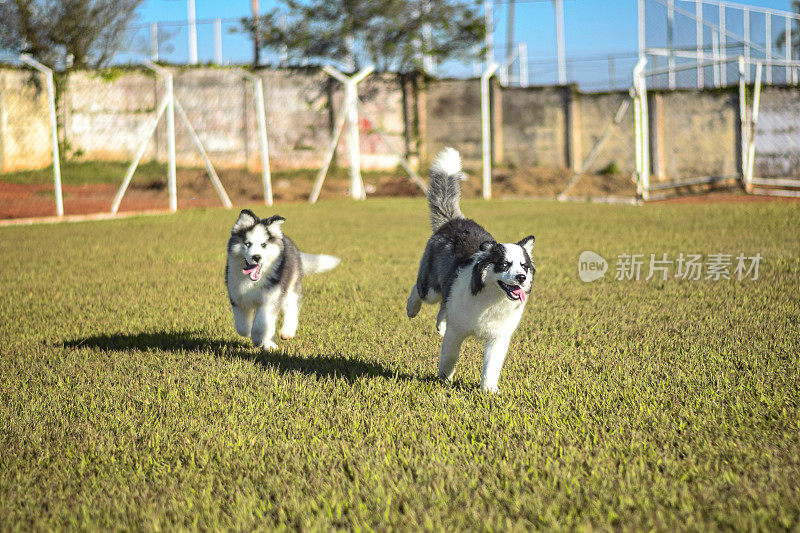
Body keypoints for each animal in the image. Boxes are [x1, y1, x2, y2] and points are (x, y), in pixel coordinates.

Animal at [225, 210, 340, 352]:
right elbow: (242, 327)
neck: (253, 282)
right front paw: (249, 332)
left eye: (264, 244)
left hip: (291, 286)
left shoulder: (271, 299)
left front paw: (258, 339)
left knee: (291, 308)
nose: (256, 257)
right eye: (247, 244)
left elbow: (260, 325)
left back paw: (286, 332)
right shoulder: (237, 297)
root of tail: (287, 240)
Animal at [406, 148, 536, 392]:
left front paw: (489, 391)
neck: (491, 299)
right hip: (431, 289)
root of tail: (454, 221)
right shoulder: (457, 332)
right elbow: (449, 356)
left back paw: (440, 324)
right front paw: (444, 378)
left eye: (524, 266)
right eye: (504, 264)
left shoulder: (498, 338)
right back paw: (411, 308)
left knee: (443, 306)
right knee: (419, 290)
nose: (522, 278)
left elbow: (491, 367)